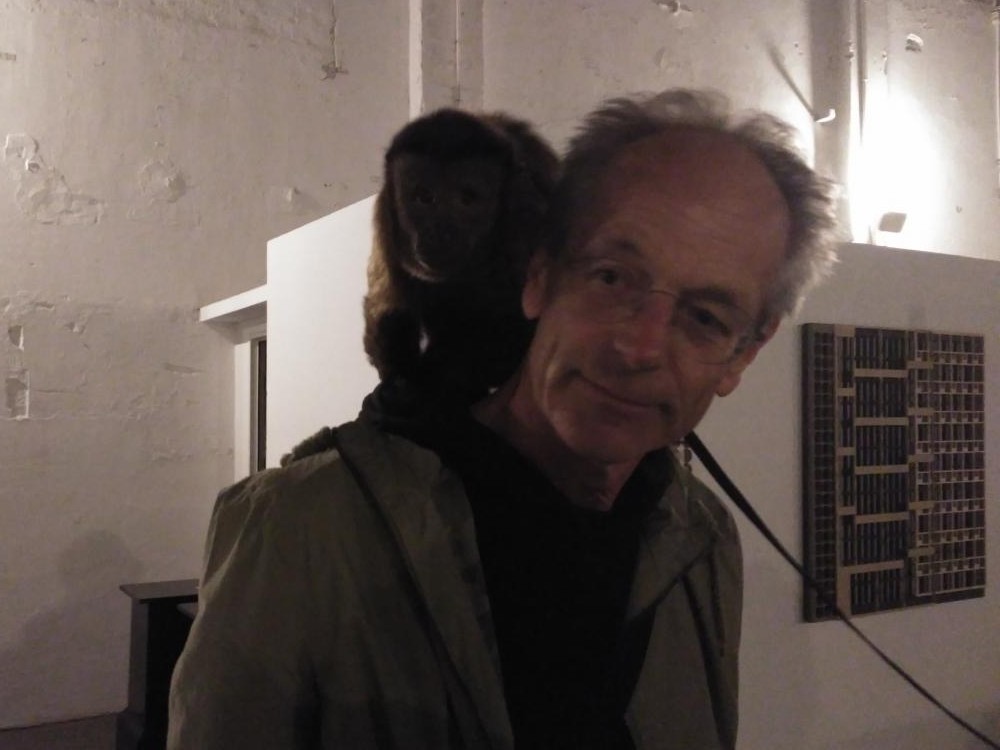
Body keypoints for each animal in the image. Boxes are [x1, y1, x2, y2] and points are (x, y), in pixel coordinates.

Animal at [363, 107, 560, 403]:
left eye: (467, 199)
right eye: (424, 197)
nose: (440, 233)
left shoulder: (528, 211)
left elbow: (528, 328)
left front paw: (423, 389)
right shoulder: (385, 212)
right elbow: (386, 305)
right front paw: (398, 383)